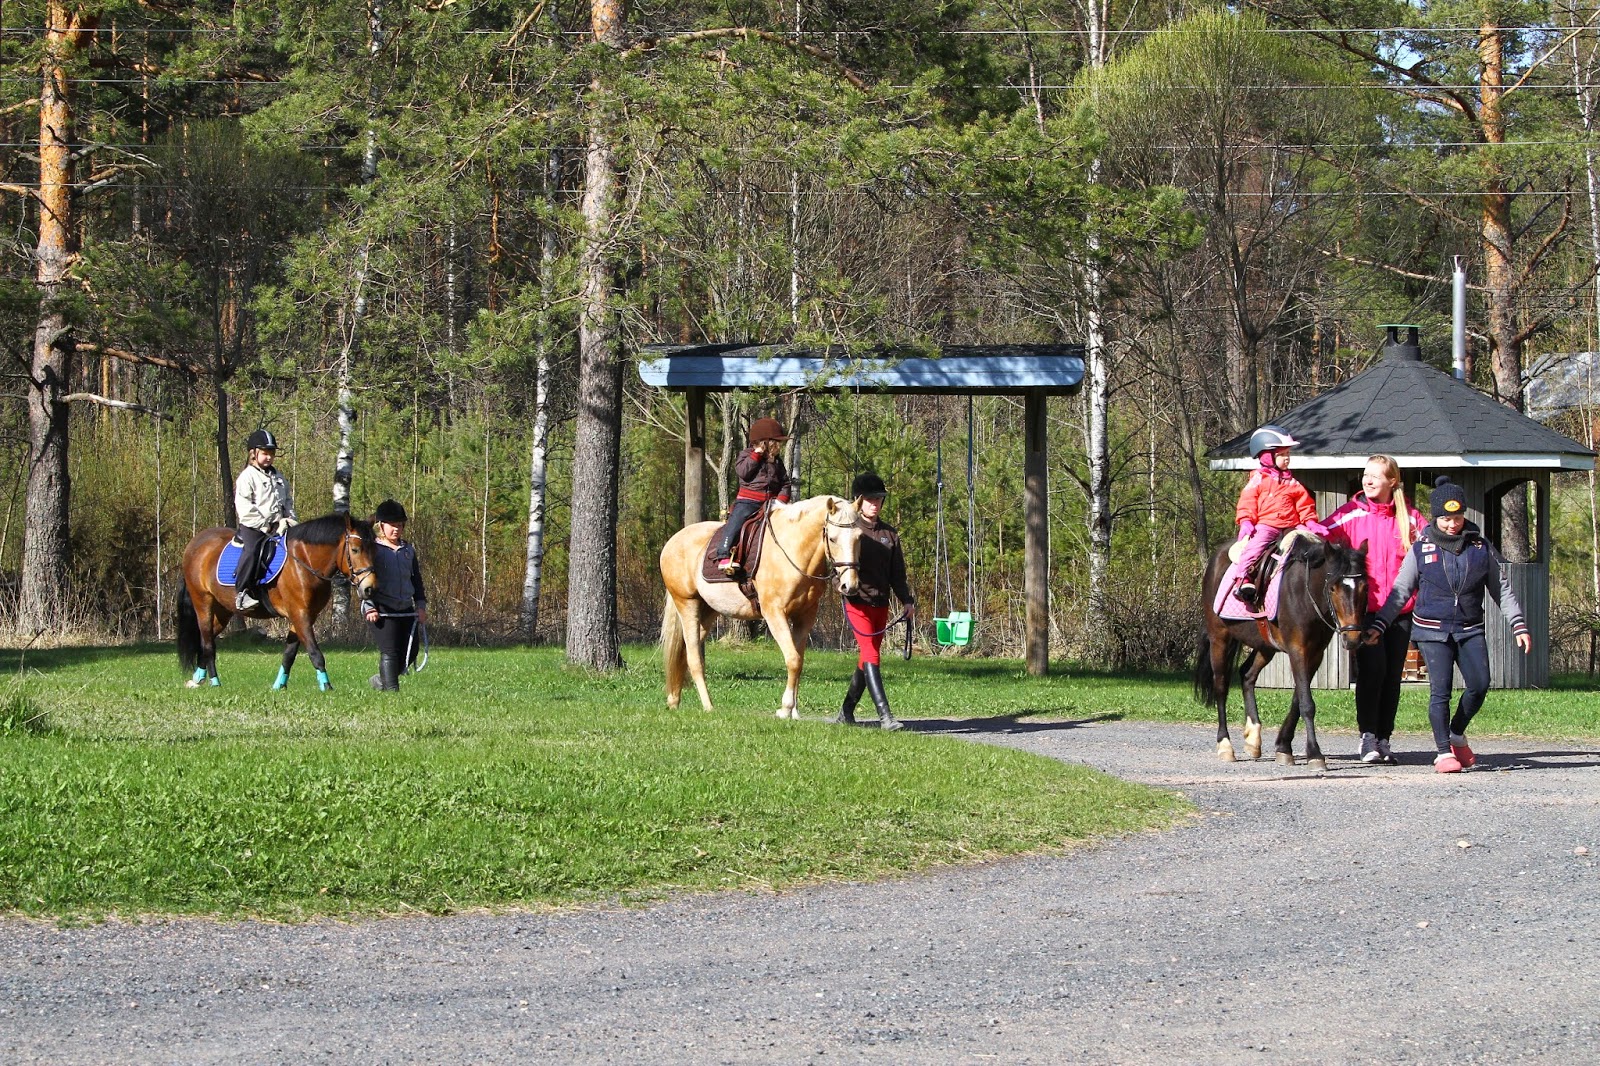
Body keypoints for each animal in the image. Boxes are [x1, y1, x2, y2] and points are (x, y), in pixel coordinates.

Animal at [177, 513, 379, 691]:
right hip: (203, 603)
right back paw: (214, 682)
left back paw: (197, 679)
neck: (304, 560)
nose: (369, 588)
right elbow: (315, 653)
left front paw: (279, 686)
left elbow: (289, 654)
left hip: (222, 611)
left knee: (206, 639)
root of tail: (195, 543)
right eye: (355, 550)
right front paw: (326, 686)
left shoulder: (304, 616)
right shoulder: (300, 614)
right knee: (208, 643)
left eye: (374, 549)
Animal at [660, 495, 861, 717]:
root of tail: (672, 541)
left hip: (707, 612)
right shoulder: (774, 614)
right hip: (687, 605)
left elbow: (798, 661)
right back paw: (708, 706)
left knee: (684, 652)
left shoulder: (805, 616)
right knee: (694, 658)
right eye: (832, 538)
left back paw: (674, 700)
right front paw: (785, 708)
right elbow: (793, 659)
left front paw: (794, 711)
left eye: (859, 537)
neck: (792, 551)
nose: (850, 585)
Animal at [1193, 535, 1369, 769]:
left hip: (1265, 647)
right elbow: (1307, 703)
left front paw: (1284, 748)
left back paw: (1253, 738)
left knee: (1247, 675)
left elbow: (1297, 701)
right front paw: (1315, 753)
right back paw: (1225, 745)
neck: (1305, 593)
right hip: (1219, 638)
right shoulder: (1297, 650)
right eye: (1333, 588)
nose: (1353, 637)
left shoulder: (1315, 654)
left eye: (1365, 587)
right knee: (1221, 687)